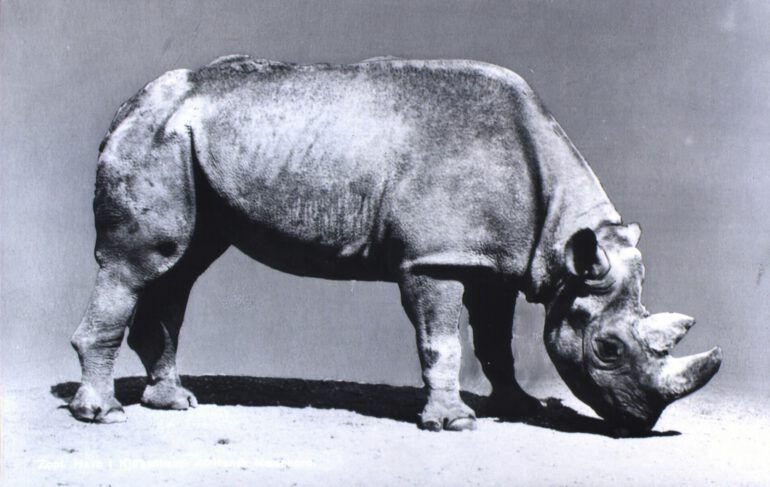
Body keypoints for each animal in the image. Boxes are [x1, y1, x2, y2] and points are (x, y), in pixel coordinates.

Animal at [69, 55, 722, 434]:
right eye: (608, 349)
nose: (641, 423)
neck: (565, 245)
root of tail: (129, 104)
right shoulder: (434, 259)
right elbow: (443, 341)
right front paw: (454, 423)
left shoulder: (491, 260)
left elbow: (496, 342)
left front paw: (519, 408)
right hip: (157, 138)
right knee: (138, 264)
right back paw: (103, 415)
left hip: (186, 145)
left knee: (179, 267)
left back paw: (174, 402)